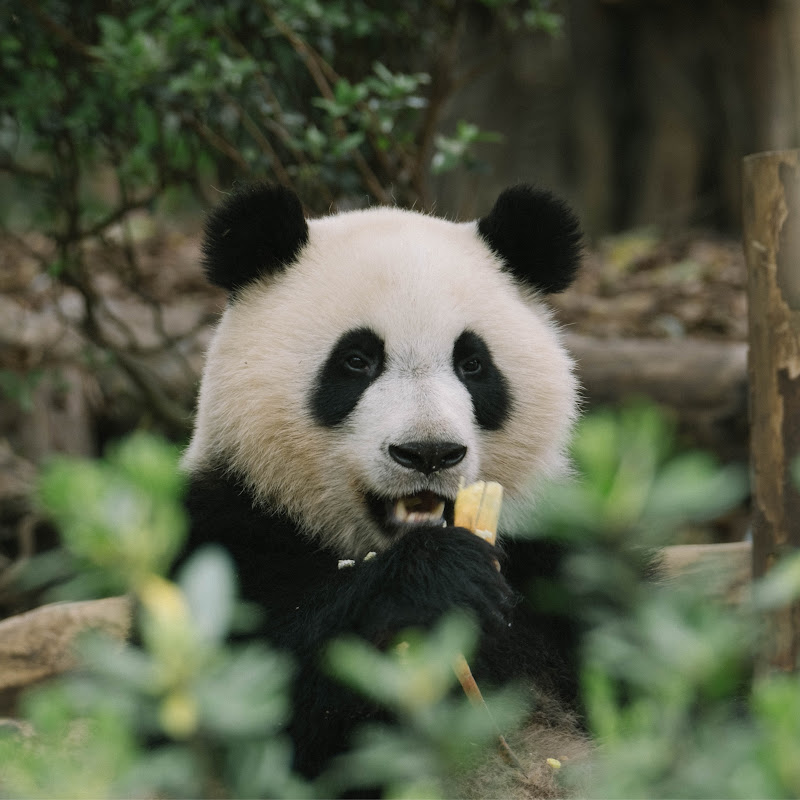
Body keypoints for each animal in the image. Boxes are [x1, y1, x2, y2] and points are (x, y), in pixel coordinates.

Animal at [181, 182, 589, 794]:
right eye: (356, 360)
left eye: (472, 363)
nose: (428, 453)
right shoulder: (229, 525)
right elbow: (245, 703)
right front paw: (439, 579)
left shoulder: (559, 551)